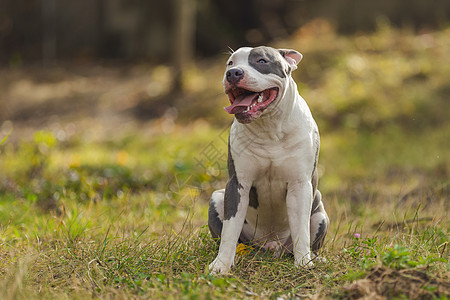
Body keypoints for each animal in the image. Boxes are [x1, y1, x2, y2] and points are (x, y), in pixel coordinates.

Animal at [208, 45, 330, 274]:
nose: (233, 73)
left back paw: (316, 258)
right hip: (217, 198)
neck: (269, 128)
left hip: (319, 209)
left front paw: (303, 263)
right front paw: (221, 265)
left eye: (262, 61)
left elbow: (301, 229)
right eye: (230, 63)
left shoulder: (300, 185)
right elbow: (230, 228)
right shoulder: (237, 184)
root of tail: (271, 246)